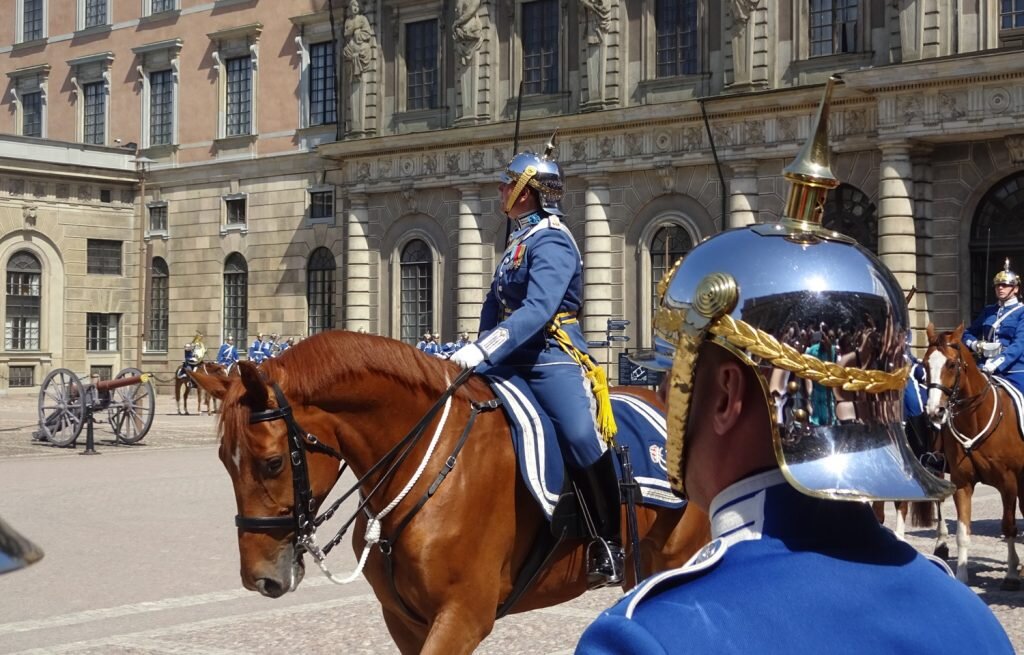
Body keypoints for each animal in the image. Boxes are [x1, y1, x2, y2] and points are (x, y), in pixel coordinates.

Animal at [188, 331, 708, 655]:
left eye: (273, 462)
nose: (259, 578)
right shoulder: (403, 620)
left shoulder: (462, 616)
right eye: (223, 460)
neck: (427, 464)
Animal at [921, 323, 1024, 589]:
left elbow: (1009, 525)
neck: (975, 418)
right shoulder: (962, 483)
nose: (934, 411)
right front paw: (961, 575)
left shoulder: (1008, 482)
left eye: (951, 364)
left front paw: (1011, 574)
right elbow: (963, 533)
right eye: (925, 364)